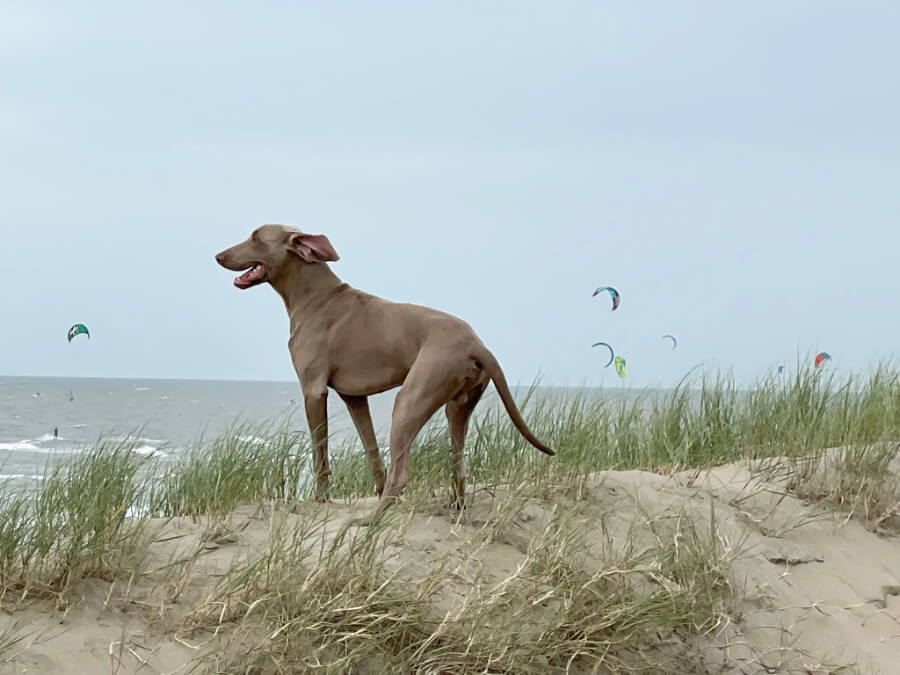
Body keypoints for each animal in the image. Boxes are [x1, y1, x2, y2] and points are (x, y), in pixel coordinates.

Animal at [218, 226, 556, 524]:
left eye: (256, 237)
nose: (218, 255)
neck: (314, 295)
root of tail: (476, 344)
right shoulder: (354, 397)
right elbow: (371, 451)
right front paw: (375, 489)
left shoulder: (313, 390)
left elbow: (320, 451)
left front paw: (321, 499)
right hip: (457, 407)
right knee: (458, 465)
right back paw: (452, 507)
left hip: (410, 399)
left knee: (402, 473)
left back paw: (370, 520)